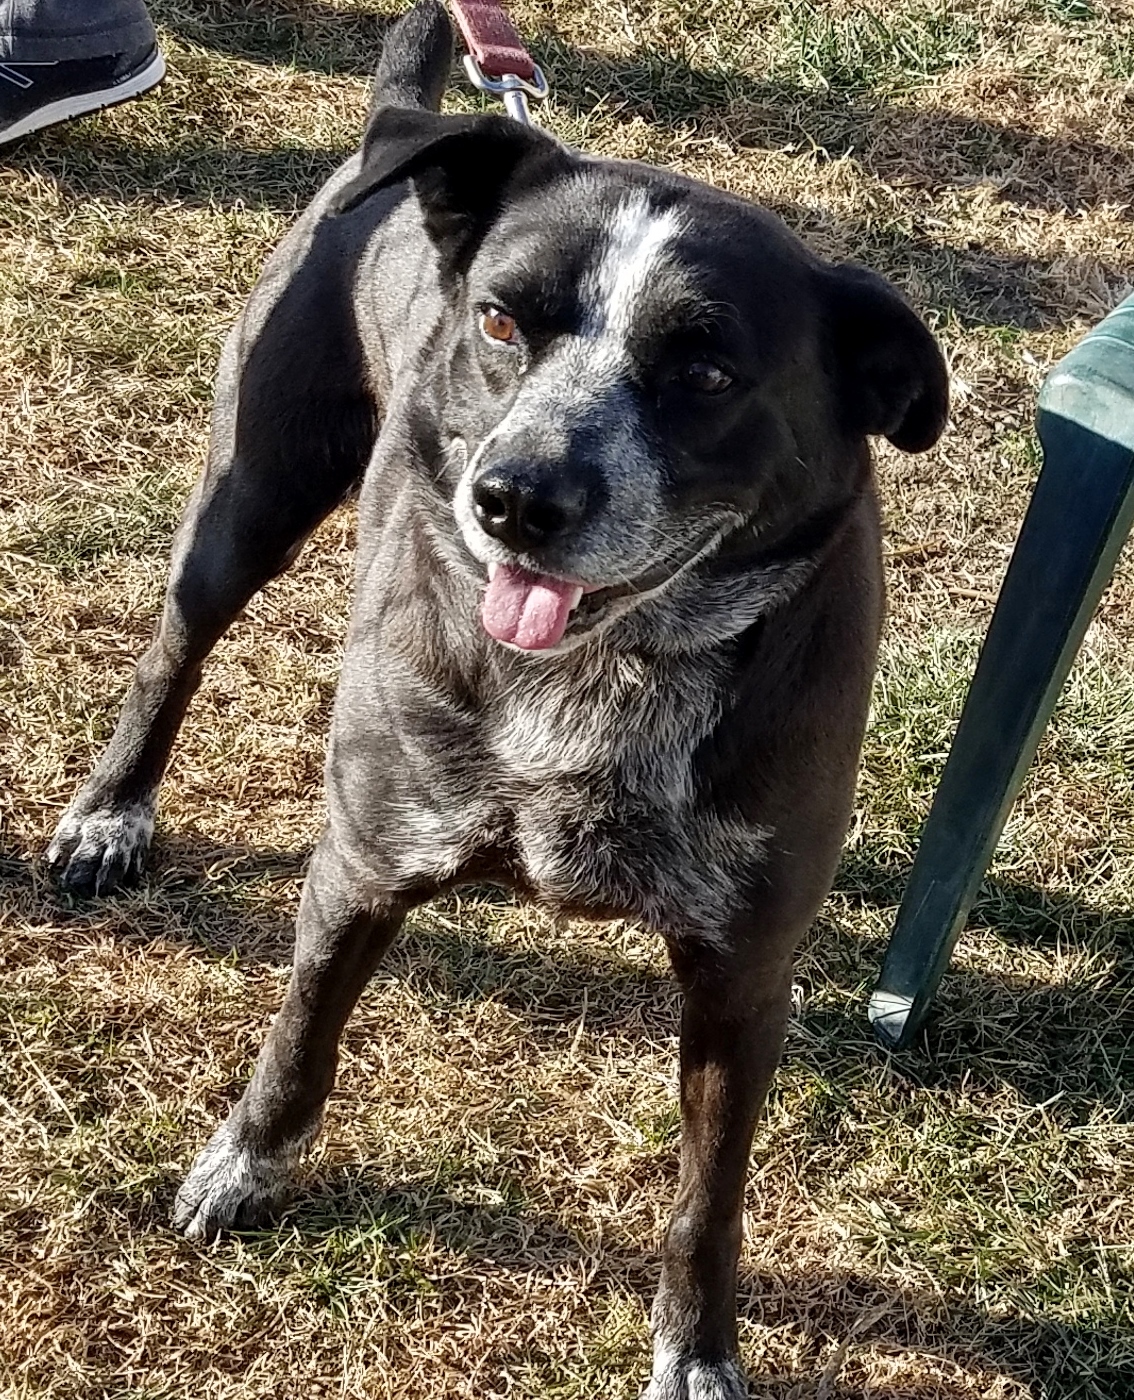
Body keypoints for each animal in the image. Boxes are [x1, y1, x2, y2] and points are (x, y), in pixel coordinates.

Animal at [46, 5, 946, 1394]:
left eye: (707, 372)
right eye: (502, 324)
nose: (517, 497)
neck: (607, 674)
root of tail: (400, 125)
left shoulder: (742, 969)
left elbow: (708, 1200)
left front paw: (697, 1352)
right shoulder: (363, 863)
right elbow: (299, 1040)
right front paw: (242, 1166)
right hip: (249, 495)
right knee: (170, 656)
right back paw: (110, 811)